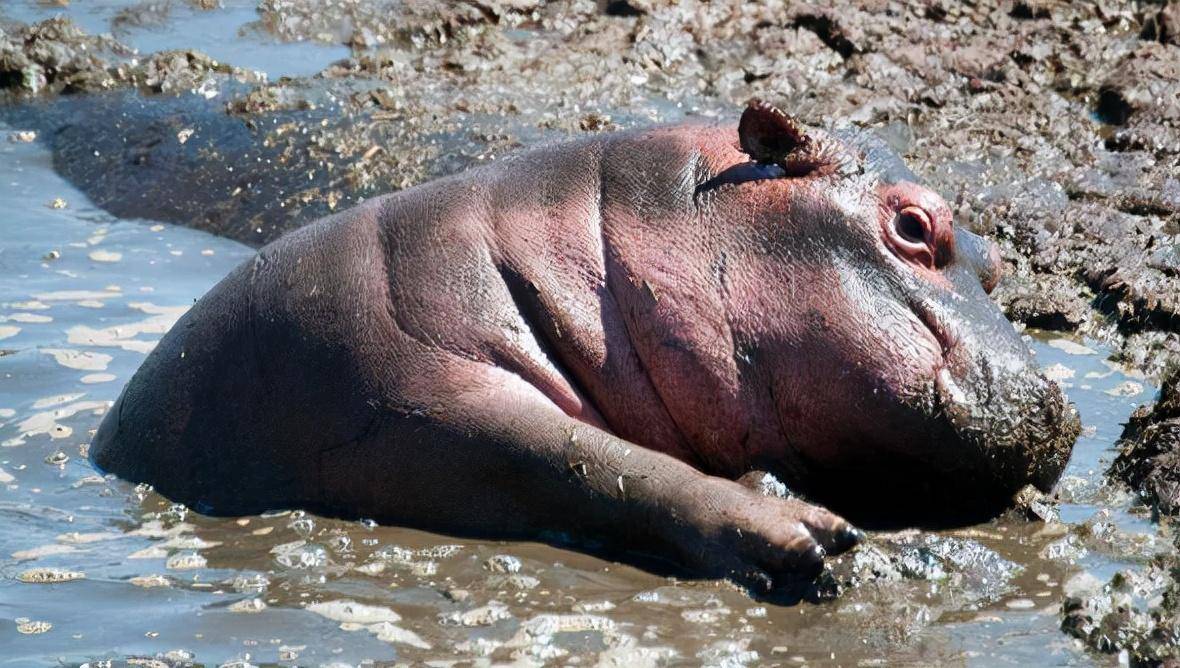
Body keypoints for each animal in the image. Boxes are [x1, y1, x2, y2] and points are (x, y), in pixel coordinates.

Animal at [92, 99, 1080, 592]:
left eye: (996, 262)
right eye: (915, 225)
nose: (1063, 411)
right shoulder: (419, 390)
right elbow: (607, 466)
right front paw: (812, 533)